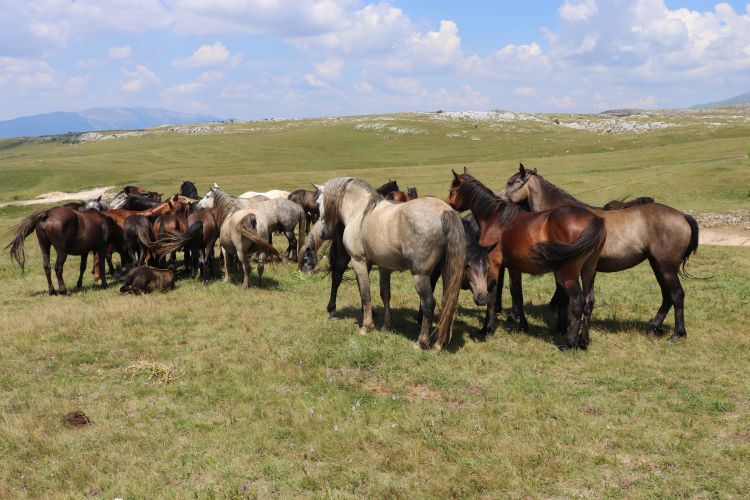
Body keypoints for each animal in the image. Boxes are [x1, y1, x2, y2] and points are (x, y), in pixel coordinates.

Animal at [314, 178, 468, 350]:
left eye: (318, 202)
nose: (323, 234)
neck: (360, 211)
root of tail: (444, 211)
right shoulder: (384, 267)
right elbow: (385, 294)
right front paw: (386, 326)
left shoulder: (359, 261)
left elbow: (365, 293)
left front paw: (366, 326)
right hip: (446, 270)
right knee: (448, 301)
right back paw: (439, 343)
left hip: (420, 275)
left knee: (429, 303)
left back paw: (421, 342)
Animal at [450, 170, 608, 350]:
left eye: (452, 191)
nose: (449, 206)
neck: (496, 218)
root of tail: (594, 220)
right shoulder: (513, 266)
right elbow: (517, 293)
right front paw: (522, 326)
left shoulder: (493, 265)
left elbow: (491, 293)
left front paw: (487, 328)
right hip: (589, 271)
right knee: (589, 302)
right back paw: (583, 341)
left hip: (568, 274)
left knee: (577, 303)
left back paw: (569, 343)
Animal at [502, 164, 704, 340]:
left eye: (510, 182)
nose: (498, 197)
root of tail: (682, 216)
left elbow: (563, 298)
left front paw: (561, 328)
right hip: (658, 265)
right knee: (667, 296)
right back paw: (655, 327)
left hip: (666, 267)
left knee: (677, 295)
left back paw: (677, 334)